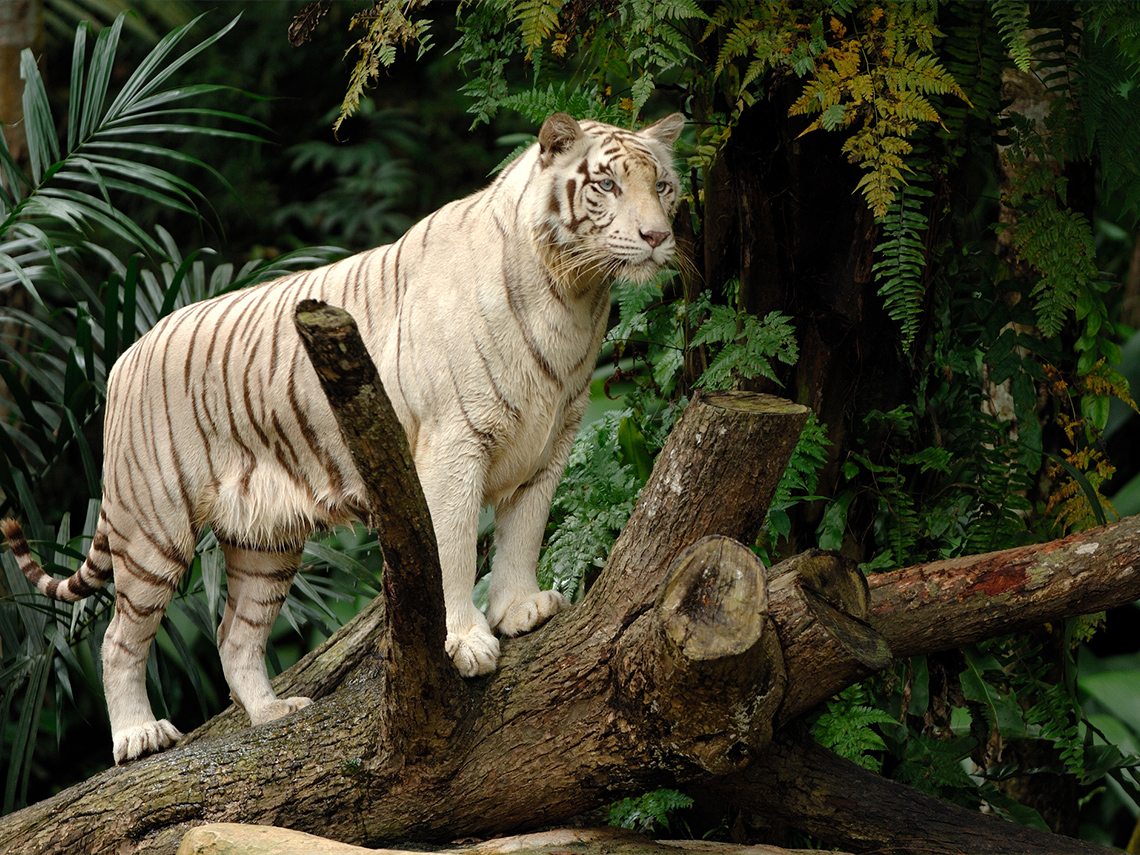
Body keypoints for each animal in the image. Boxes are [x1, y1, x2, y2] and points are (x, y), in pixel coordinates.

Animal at [1, 111, 685, 765]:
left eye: (664, 187)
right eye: (607, 185)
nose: (658, 237)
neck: (571, 294)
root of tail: (121, 359)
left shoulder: (550, 444)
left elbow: (525, 531)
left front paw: (520, 612)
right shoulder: (454, 444)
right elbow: (456, 548)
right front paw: (465, 640)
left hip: (265, 540)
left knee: (234, 635)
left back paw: (273, 714)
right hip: (153, 526)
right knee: (118, 639)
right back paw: (139, 736)